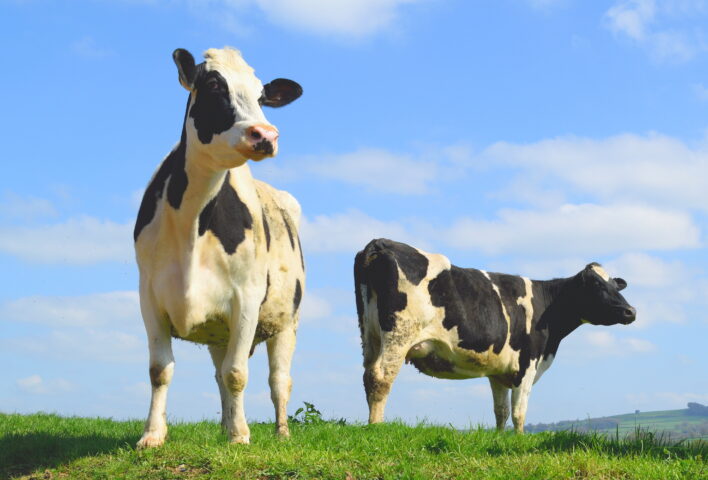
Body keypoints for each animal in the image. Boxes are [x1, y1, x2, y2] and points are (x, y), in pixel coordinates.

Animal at [134, 47, 304, 447]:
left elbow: (237, 374)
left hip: (288, 322)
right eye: (213, 85)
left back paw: (280, 432)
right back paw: (226, 425)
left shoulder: (247, 298)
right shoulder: (149, 294)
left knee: (279, 381)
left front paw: (241, 436)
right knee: (220, 373)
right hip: (218, 331)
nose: (265, 134)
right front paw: (152, 434)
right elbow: (160, 370)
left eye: (262, 97)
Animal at [354, 238, 636, 432]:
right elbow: (519, 411)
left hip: (370, 335)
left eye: (616, 285)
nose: (630, 311)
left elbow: (501, 411)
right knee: (382, 376)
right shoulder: (527, 363)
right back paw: (376, 426)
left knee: (368, 375)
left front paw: (499, 437)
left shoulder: (499, 371)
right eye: (597, 285)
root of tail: (381, 242)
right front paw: (519, 440)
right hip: (399, 333)